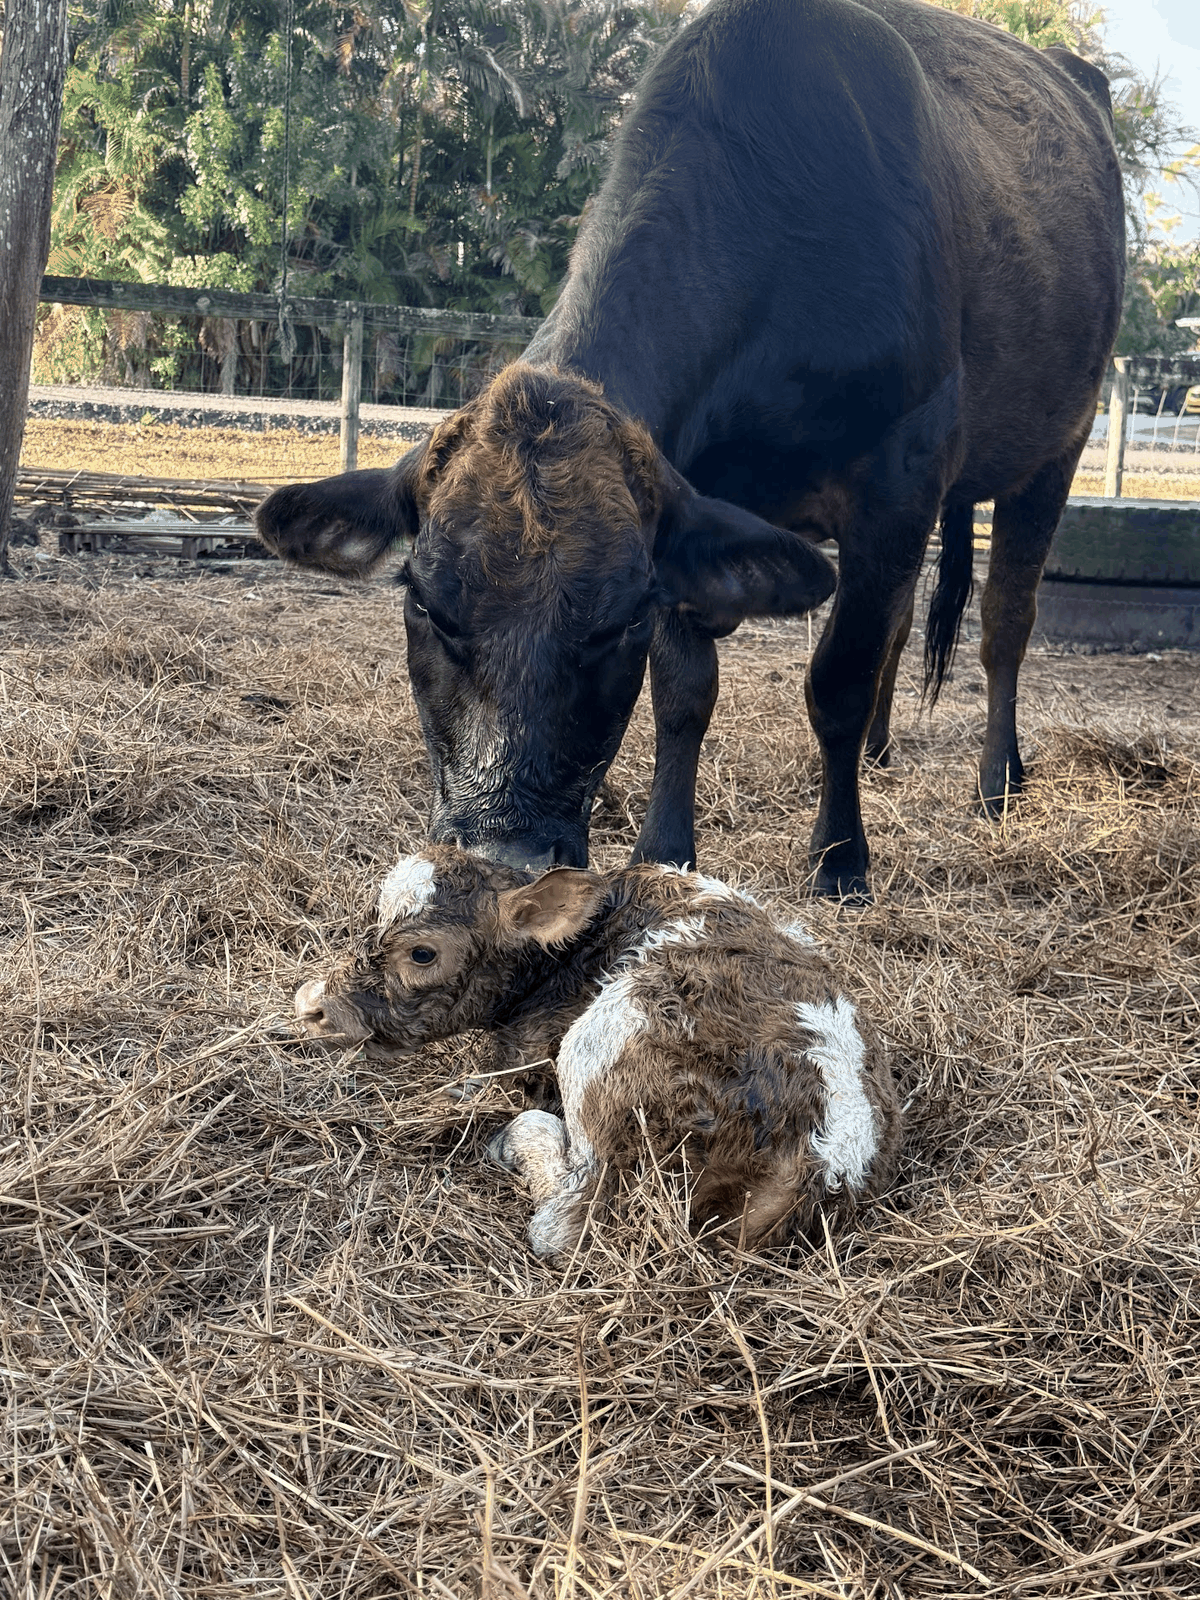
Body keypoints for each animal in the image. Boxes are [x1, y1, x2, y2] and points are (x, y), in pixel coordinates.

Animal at [256, 0, 1125, 897]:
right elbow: (684, 694)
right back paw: (884, 752)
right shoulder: (689, 512)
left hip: (1057, 449)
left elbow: (837, 681)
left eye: (620, 621)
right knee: (905, 618)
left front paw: (840, 858)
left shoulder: (897, 479)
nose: (506, 854)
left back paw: (997, 781)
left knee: (1003, 620)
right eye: (425, 603)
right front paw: (665, 846)